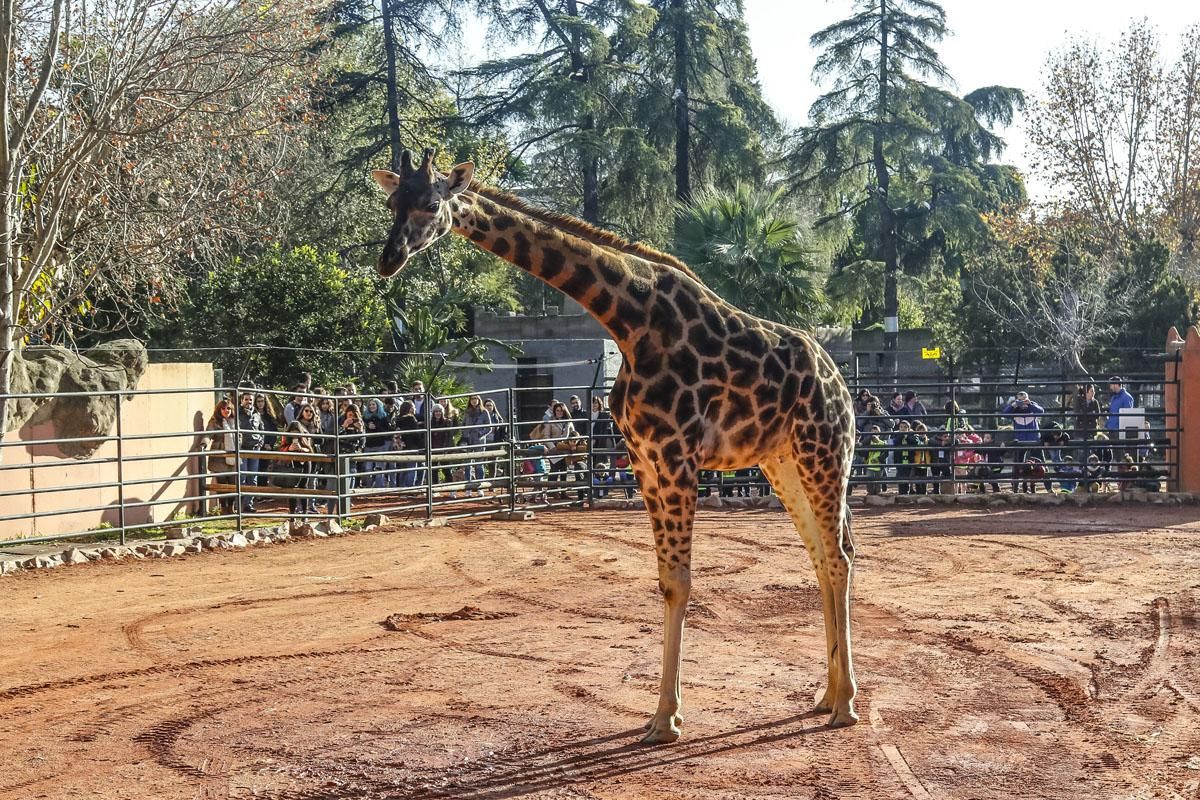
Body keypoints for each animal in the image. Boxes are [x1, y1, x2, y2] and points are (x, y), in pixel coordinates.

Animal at [369, 148, 859, 743]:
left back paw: (845, 704)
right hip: (782, 463)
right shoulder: (645, 460)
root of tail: (840, 382)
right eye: (392, 203)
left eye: (431, 203)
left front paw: (667, 719)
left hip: (824, 452)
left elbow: (680, 583)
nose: (388, 260)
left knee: (839, 557)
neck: (627, 318)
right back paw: (825, 694)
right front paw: (659, 714)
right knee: (821, 555)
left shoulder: (676, 455)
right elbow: (665, 582)